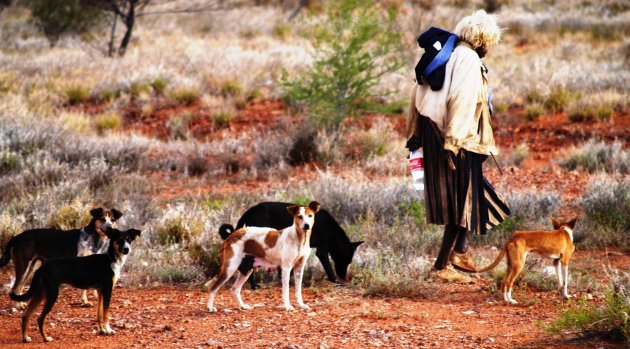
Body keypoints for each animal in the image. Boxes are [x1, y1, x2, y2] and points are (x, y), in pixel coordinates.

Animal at [10, 227, 141, 342]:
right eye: (119, 239)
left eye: (129, 239)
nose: (126, 249)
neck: (111, 259)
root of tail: (42, 267)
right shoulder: (107, 290)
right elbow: (106, 314)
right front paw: (108, 330)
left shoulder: (100, 291)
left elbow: (99, 315)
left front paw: (102, 330)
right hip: (51, 295)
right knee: (40, 318)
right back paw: (46, 338)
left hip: (40, 294)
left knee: (25, 315)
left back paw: (25, 338)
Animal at [220, 200, 362, 286]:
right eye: (346, 260)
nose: (344, 278)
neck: (331, 229)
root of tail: (248, 212)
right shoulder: (321, 252)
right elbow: (329, 268)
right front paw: (335, 281)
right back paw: (254, 286)